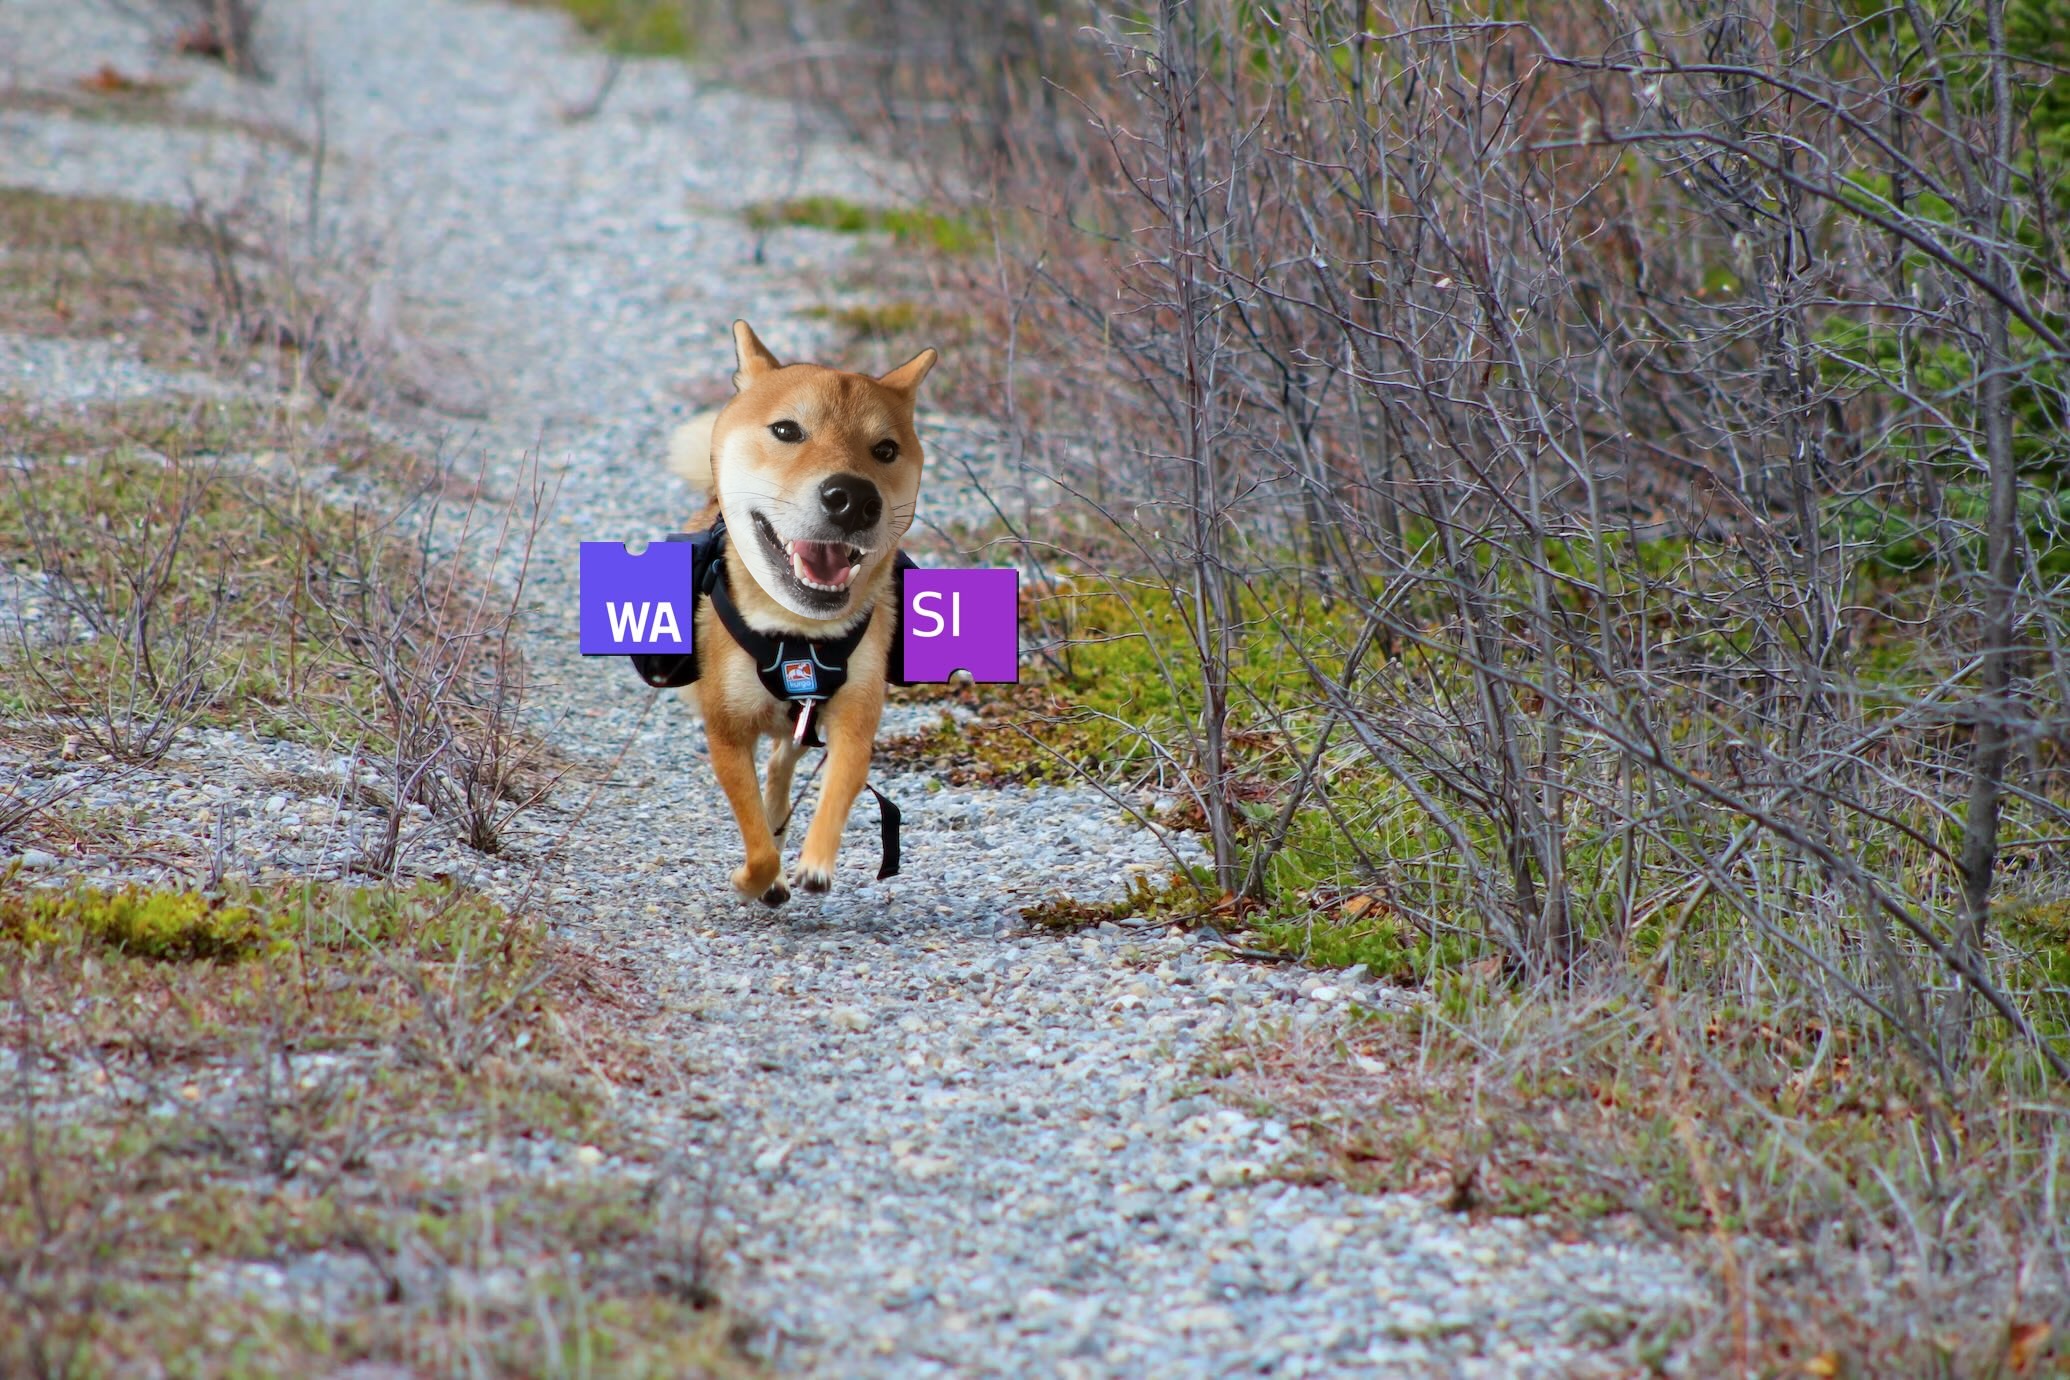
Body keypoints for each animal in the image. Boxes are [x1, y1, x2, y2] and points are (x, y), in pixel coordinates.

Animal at [662, 320, 939, 906]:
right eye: (787, 430)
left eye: (885, 449)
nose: (853, 497)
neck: (799, 635)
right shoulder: (726, 733)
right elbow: (757, 841)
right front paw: (753, 877)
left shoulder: (855, 720)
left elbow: (838, 791)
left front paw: (814, 863)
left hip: (800, 726)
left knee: (780, 770)